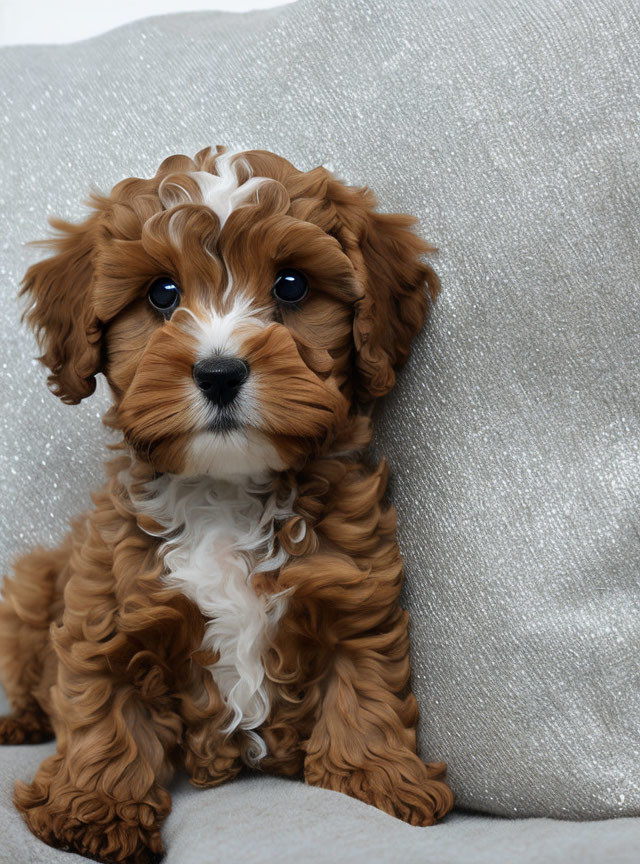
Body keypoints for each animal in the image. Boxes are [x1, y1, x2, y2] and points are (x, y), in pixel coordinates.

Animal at [0, 148, 452, 864]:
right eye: (162, 294)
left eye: (292, 286)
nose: (219, 373)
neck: (226, 488)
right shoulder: (108, 611)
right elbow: (104, 707)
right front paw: (95, 807)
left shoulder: (352, 592)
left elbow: (365, 689)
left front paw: (377, 779)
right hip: (30, 586)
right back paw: (19, 723)